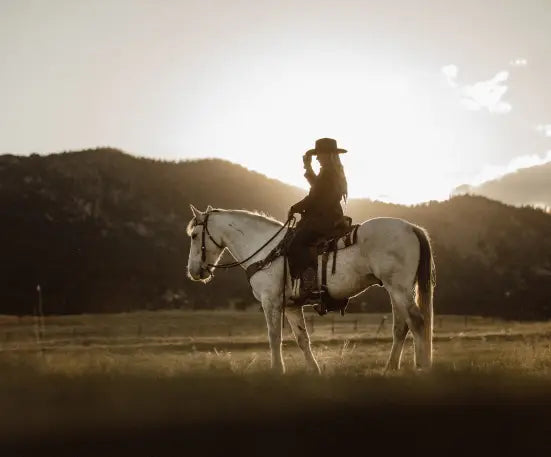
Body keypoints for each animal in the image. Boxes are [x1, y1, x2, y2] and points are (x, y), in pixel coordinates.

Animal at [187, 205, 436, 372]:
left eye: (194, 235)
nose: (193, 271)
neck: (265, 250)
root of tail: (411, 228)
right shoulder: (291, 306)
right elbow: (302, 339)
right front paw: (313, 370)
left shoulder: (271, 302)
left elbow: (274, 336)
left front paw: (277, 371)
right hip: (397, 290)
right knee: (401, 327)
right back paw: (390, 368)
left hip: (399, 288)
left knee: (416, 321)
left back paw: (422, 367)